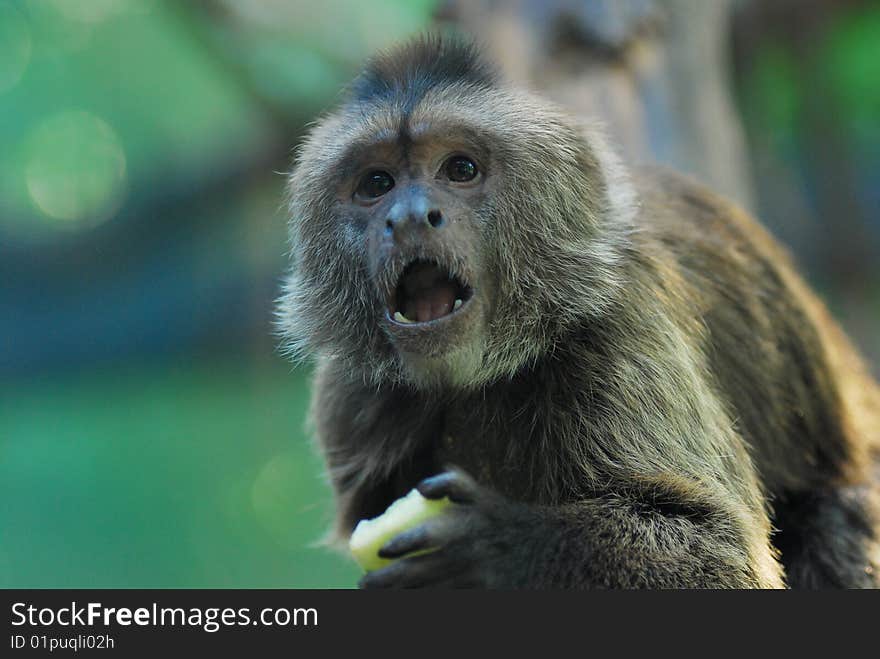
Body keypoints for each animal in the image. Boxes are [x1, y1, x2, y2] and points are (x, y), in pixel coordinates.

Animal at [276, 36, 880, 588]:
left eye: (460, 169)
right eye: (377, 183)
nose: (408, 217)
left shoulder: (620, 324)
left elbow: (723, 555)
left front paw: (501, 547)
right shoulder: (352, 399)